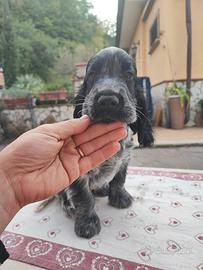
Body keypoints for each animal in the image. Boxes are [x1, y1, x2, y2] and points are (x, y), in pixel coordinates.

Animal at [39, 46, 154, 238]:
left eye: (129, 74)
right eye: (92, 73)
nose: (107, 99)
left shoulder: (124, 159)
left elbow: (119, 179)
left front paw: (119, 197)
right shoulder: (78, 172)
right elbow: (84, 197)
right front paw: (87, 223)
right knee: (62, 196)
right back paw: (69, 206)